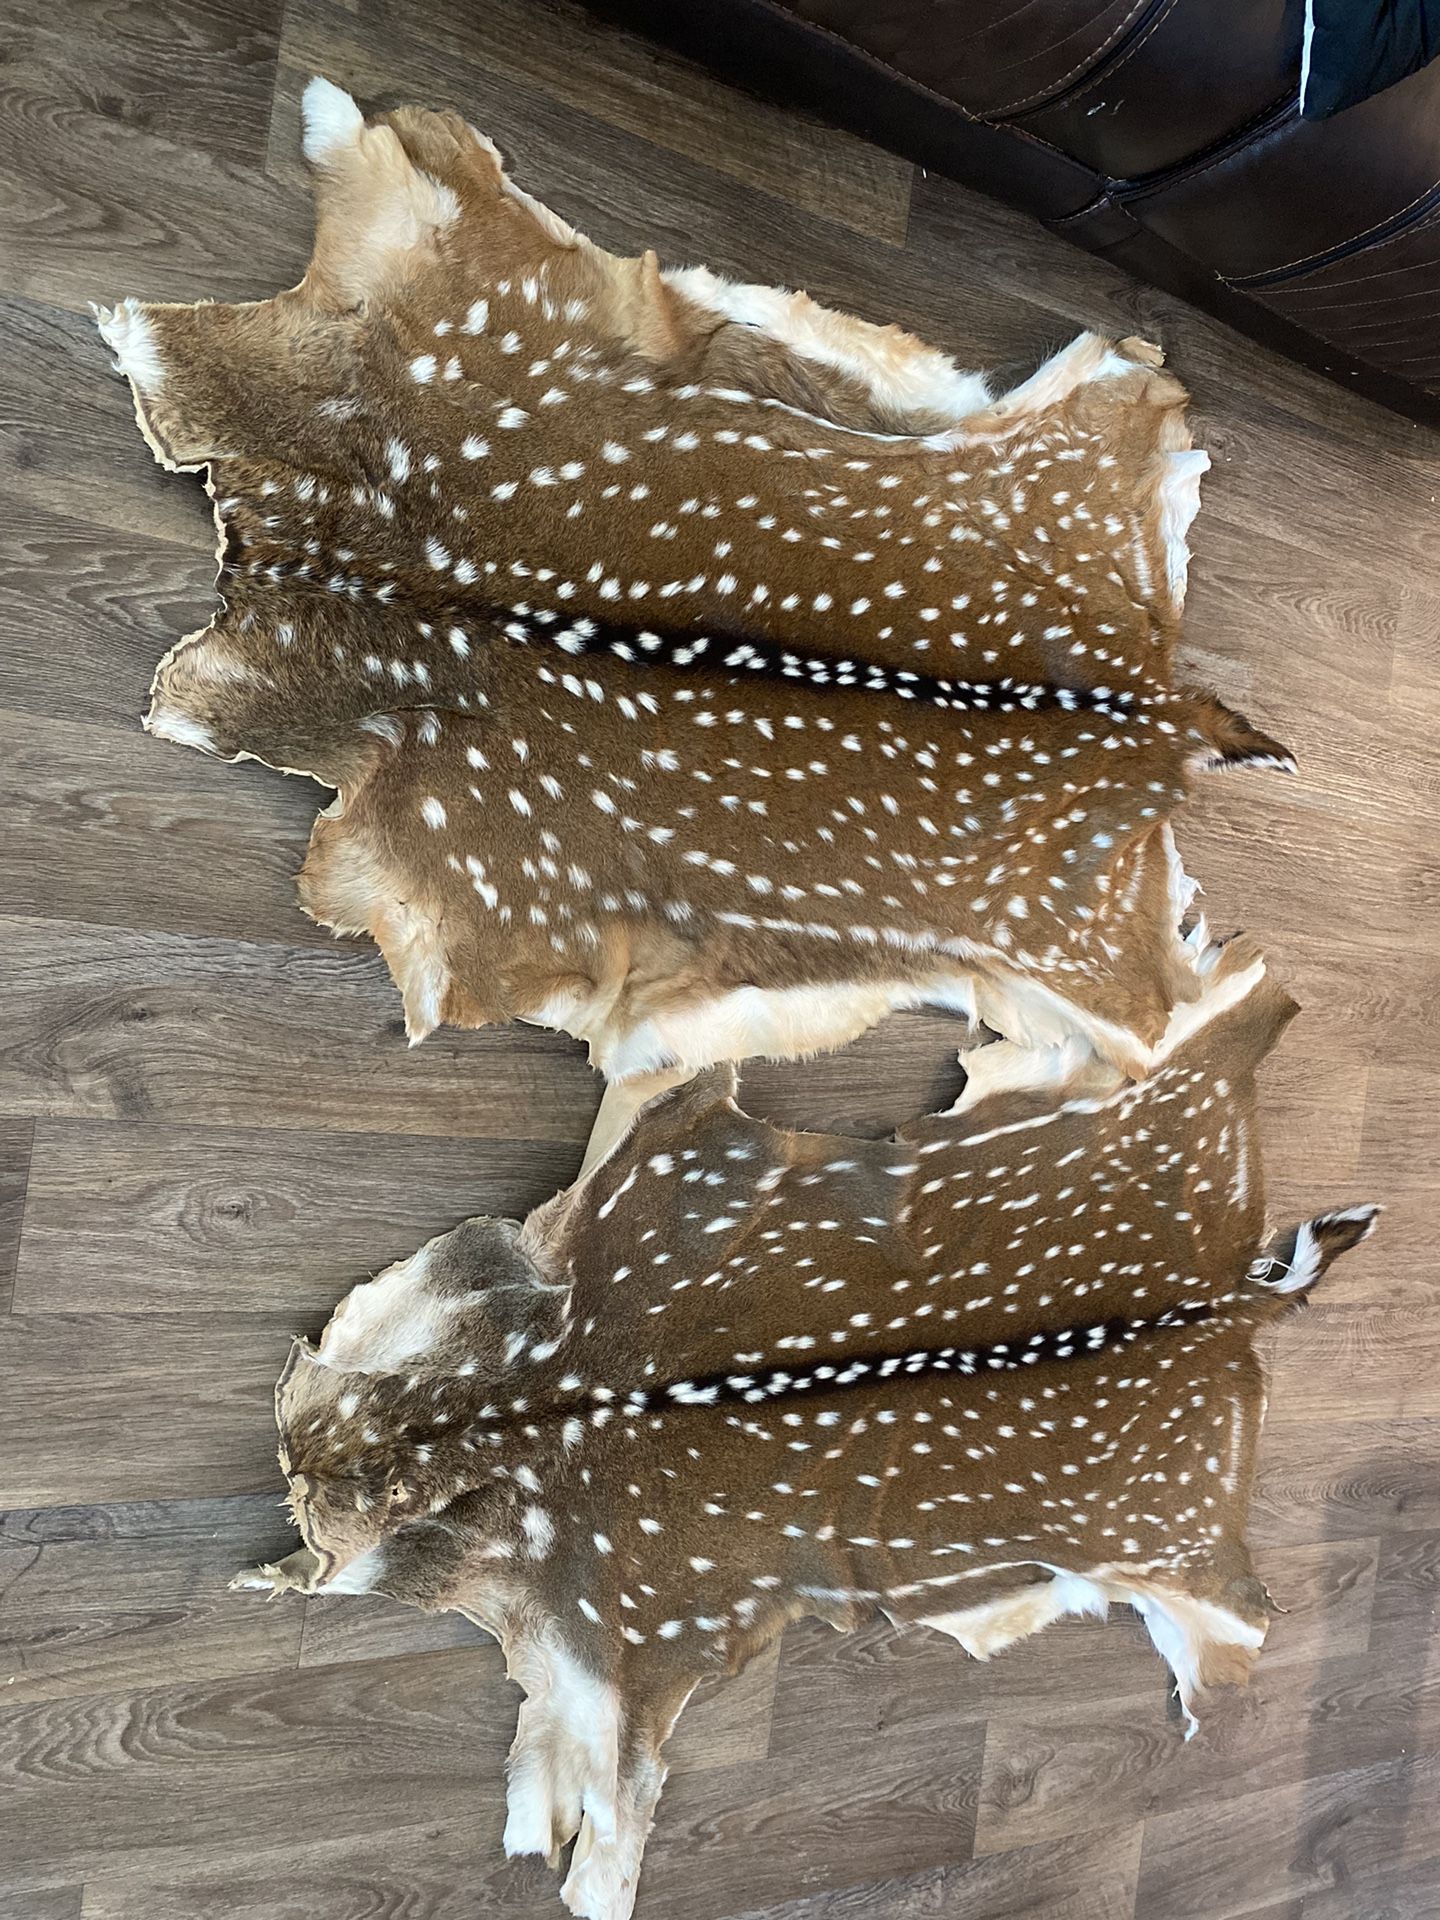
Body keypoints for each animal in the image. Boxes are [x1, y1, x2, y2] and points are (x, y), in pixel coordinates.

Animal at [94, 81, 1295, 1165]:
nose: (239, 542)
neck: (398, 571)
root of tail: (1160, 707)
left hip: (1072, 963)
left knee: (1152, 1020)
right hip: (1103, 409)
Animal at [234, 935, 1376, 1920]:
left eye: (404, 1527)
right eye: (378, 1341)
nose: (296, 1454)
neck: (554, 1409)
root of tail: (1234, 1300)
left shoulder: (638, 1656)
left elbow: (604, 1820)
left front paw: (568, 1851)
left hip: (1174, 1551)